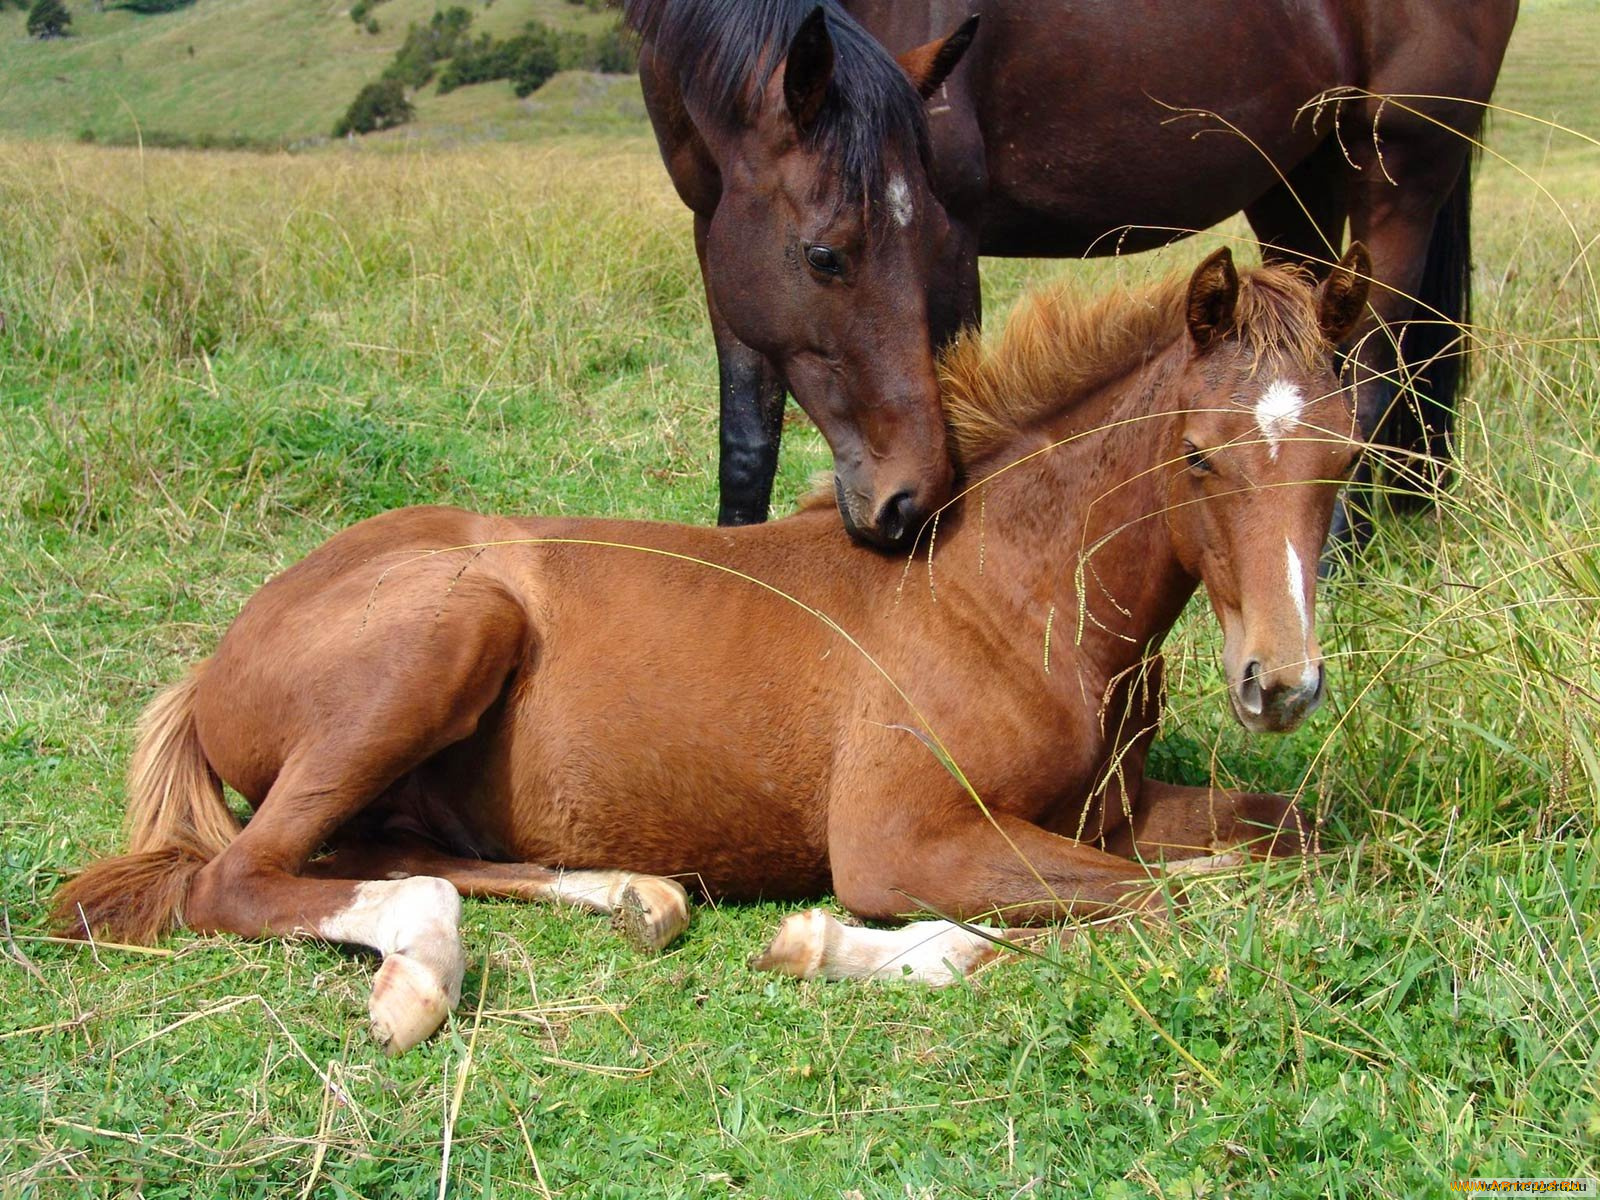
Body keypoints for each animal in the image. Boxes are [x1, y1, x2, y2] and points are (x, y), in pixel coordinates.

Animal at [56, 249, 1369, 1056]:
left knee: (382, 853)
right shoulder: (897, 840)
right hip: (449, 635)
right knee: (245, 878)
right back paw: (418, 980)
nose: (1281, 684)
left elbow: (1289, 836)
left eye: (1349, 457)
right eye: (1197, 456)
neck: (1007, 596)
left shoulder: (1118, 810)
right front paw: (831, 944)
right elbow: (1145, 906)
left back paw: (636, 896)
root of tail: (212, 663)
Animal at [633, 0, 1510, 540]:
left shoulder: (955, 234)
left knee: (1377, 366)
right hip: (1299, 178)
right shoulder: (722, 240)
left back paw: (1339, 552)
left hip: (1399, 166)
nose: (905, 501)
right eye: (823, 257)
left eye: (923, 241)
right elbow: (748, 445)